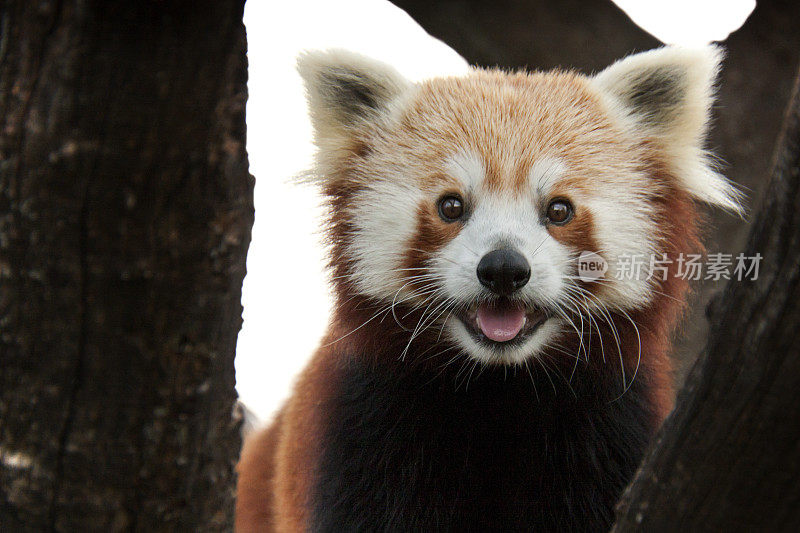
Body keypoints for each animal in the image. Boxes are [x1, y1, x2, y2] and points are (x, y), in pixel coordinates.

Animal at [234, 46, 740, 532]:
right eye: (451, 206)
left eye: (559, 210)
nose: (503, 269)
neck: (497, 389)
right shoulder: (362, 428)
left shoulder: (612, 430)